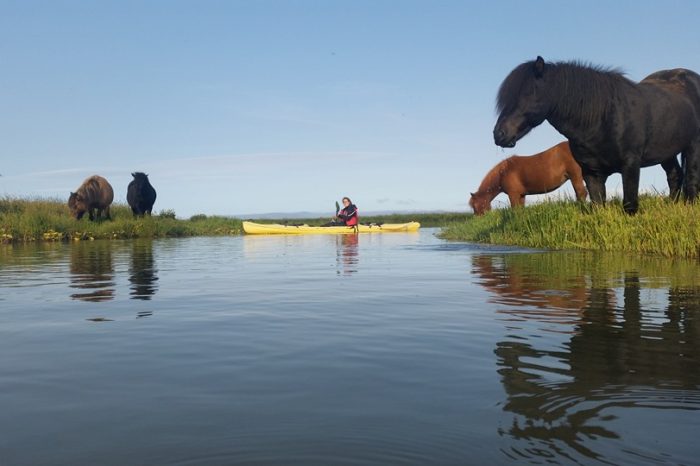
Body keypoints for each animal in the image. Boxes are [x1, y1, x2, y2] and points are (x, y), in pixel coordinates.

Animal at [492, 57, 700, 215]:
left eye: (528, 93)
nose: (499, 134)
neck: (603, 117)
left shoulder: (630, 164)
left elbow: (630, 205)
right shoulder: (591, 173)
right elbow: (598, 206)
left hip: (693, 145)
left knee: (691, 179)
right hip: (667, 151)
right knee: (675, 175)